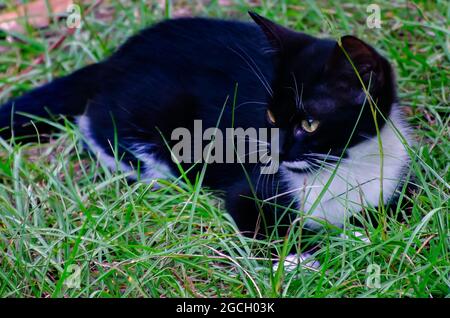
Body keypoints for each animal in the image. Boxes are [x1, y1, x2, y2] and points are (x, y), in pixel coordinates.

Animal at [0, 12, 412, 264]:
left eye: (309, 124)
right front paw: (303, 259)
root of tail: (113, 59)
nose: (276, 152)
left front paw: (364, 236)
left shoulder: (397, 179)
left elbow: (396, 215)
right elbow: (262, 223)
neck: (343, 167)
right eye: (270, 116)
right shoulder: (250, 191)